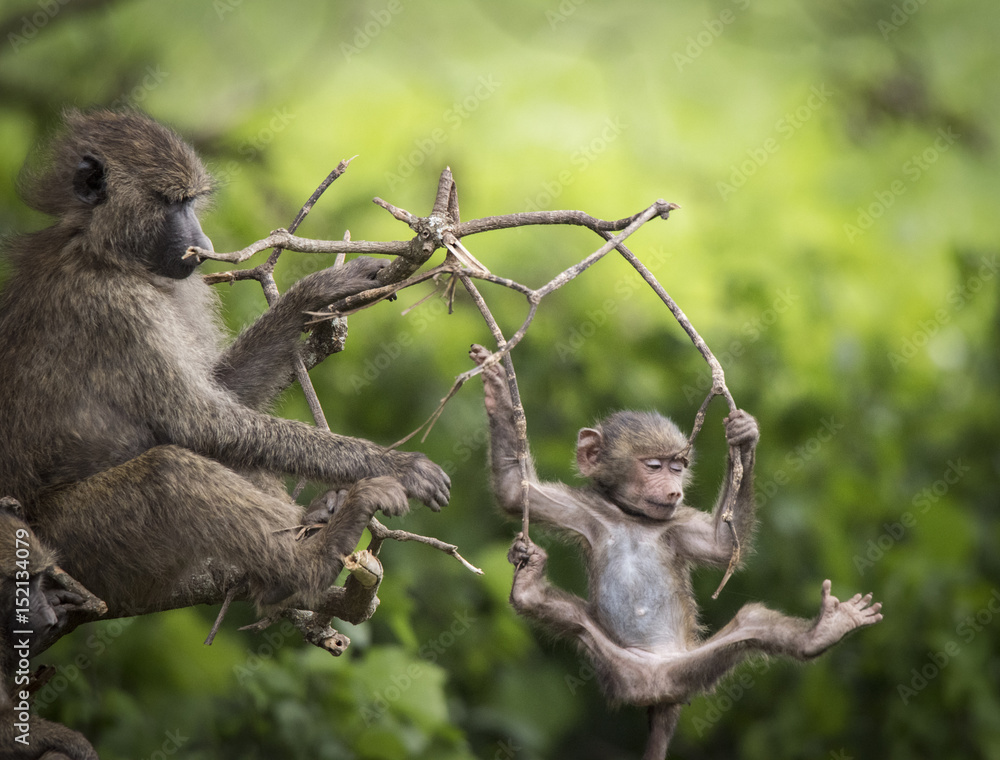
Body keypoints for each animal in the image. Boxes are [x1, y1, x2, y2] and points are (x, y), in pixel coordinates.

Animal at [0, 109, 450, 620]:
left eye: (191, 202)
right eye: (172, 202)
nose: (202, 242)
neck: (99, 250)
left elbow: (225, 395)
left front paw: (317, 290)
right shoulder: (118, 311)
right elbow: (201, 422)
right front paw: (399, 464)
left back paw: (314, 524)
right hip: (80, 550)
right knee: (170, 473)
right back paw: (312, 560)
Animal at [470, 344, 883, 759]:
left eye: (679, 465)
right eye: (654, 465)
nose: (674, 491)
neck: (632, 517)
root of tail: (656, 689)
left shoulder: (676, 525)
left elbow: (722, 546)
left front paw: (744, 438)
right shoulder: (583, 509)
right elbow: (513, 490)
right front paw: (496, 387)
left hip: (691, 669)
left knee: (752, 624)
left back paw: (825, 630)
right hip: (614, 665)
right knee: (567, 617)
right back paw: (528, 587)